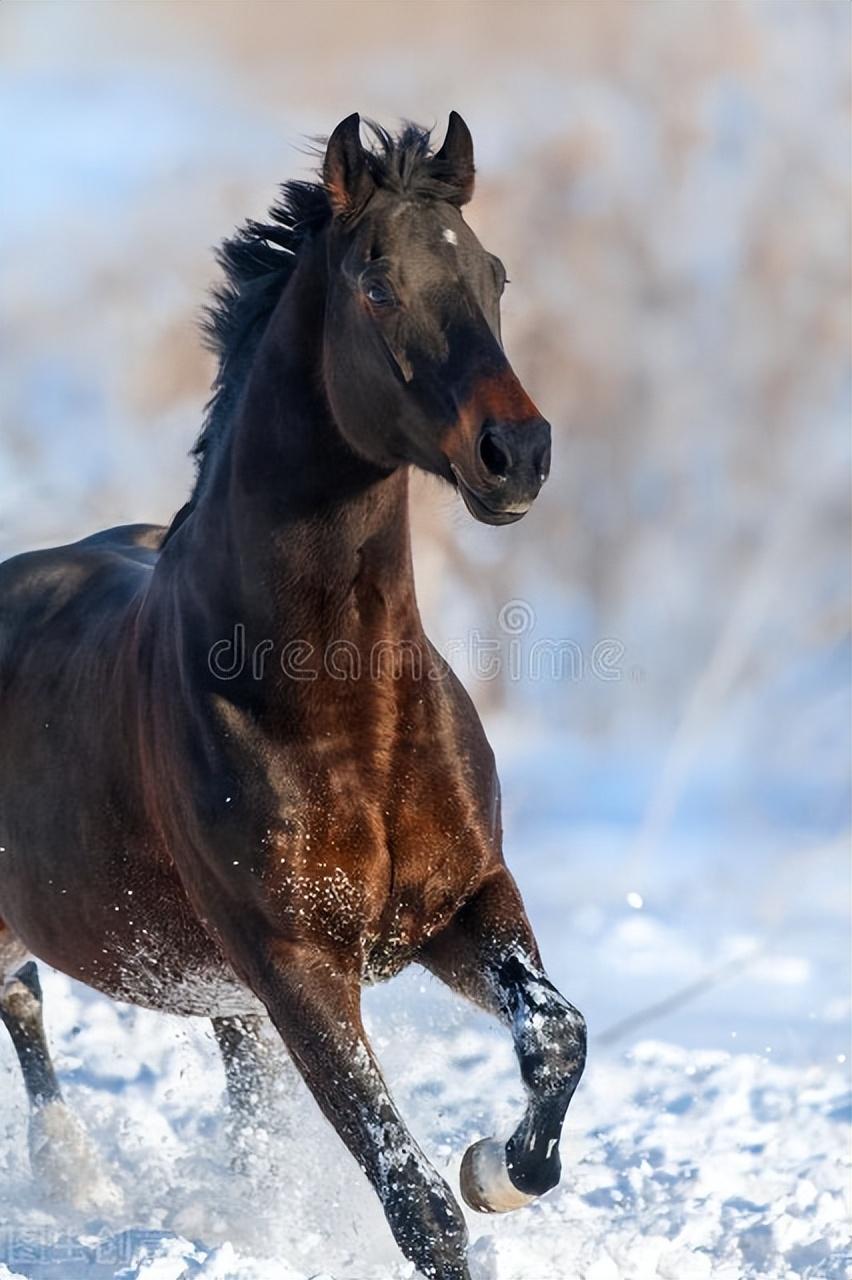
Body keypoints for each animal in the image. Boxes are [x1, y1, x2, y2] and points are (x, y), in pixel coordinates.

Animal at [0, 112, 583, 1280]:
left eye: (493, 274)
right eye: (378, 283)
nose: (519, 454)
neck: (341, 705)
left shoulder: (465, 900)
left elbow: (555, 1036)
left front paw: (499, 1166)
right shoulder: (294, 963)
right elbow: (414, 1202)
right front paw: (465, 1184)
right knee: (22, 1000)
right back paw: (73, 1173)